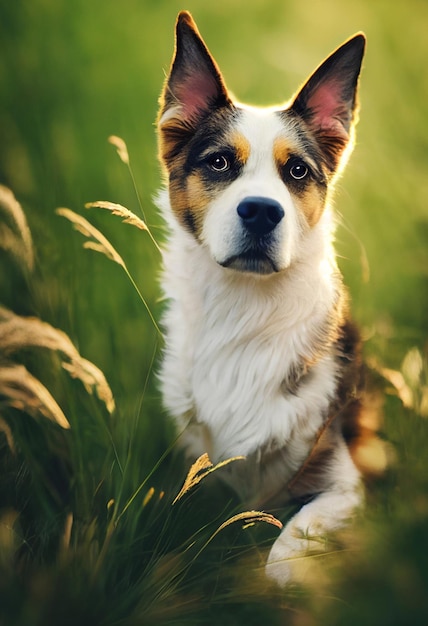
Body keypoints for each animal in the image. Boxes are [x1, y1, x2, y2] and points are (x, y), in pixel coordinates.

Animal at [157, 11, 382, 584]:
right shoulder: (197, 464)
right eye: (219, 163)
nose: (261, 211)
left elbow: (286, 547)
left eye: (297, 170)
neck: (245, 309)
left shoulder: (342, 483)